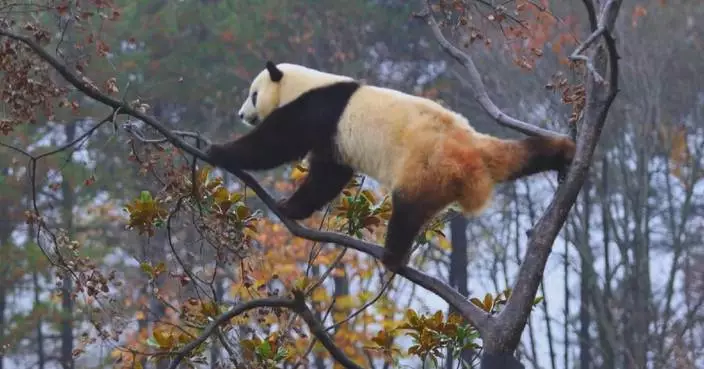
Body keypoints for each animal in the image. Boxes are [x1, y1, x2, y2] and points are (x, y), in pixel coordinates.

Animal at [205, 61, 576, 270]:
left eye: (253, 95)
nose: (242, 114)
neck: (304, 83)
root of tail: (470, 161)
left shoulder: (318, 110)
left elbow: (276, 144)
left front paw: (219, 151)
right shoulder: (332, 137)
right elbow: (329, 174)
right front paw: (291, 207)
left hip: (425, 166)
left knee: (408, 209)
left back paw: (393, 256)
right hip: (490, 151)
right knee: (523, 154)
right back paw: (564, 154)